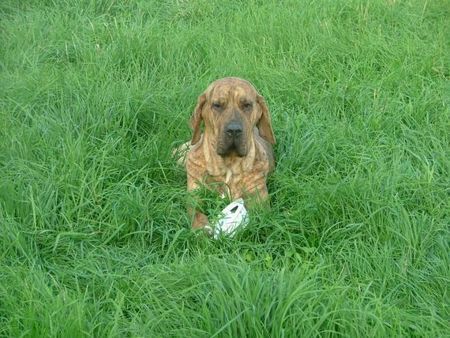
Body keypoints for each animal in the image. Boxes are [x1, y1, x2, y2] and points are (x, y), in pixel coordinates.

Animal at [178, 77, 276, 228]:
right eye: (217, 105)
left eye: (247, 105)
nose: (234, 130)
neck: (229, 164)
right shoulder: (194, 195)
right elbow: (196, 214)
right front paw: (203, 228)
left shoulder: (258, 200)